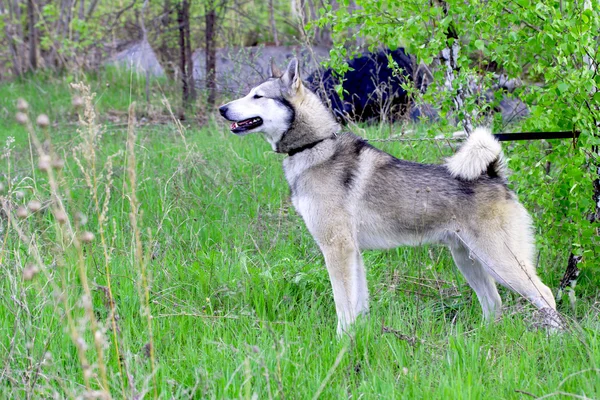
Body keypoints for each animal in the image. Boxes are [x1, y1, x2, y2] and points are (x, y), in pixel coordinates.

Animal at [218, 57, 560, 334]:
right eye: (249, 93)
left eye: (258, 96)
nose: (221, 109)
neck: (314, 146)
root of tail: (493, 174)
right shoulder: (353, 252)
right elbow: (357, 306)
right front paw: (357, 339)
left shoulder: (337, 249)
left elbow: (343, 306)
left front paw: (341, 342)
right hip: (469, 260)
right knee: (494, 303)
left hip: (500, 261)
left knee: (545, 294)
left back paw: (555, 339)